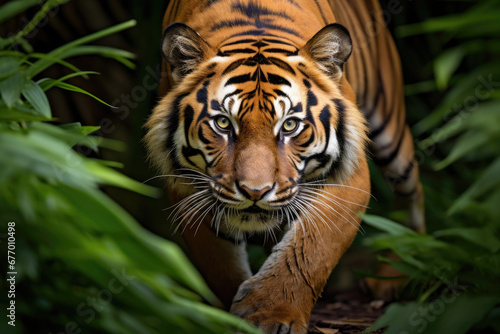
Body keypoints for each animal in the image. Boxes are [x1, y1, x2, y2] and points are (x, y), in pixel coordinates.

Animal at [146, 0, 426, 332]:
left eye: (290, 125)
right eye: (223, 123)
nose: (255, 192)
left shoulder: (350, 176)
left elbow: (313, 249)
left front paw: (271, 313)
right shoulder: (190, 188)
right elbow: (220, 264)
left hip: (391, 130)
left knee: (412, 193)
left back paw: (395, 273)